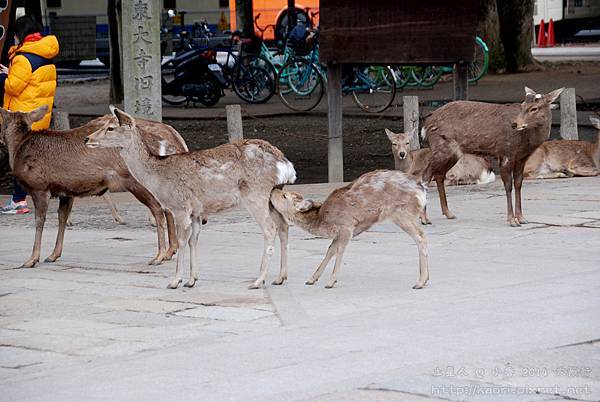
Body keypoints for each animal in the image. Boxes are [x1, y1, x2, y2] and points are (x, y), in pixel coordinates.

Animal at [0, 107, 185, 268]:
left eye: (2, 122)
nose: (1, 139)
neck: (19, 148)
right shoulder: (66, 191)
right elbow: (62, 218)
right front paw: (53, 255)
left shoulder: (39, 187)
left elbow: (39, 221)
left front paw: (32, 259)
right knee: (166, 208)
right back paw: (168, 252)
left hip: (136, 181)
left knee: (159, 209)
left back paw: (159, 256)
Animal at [85, 107, 298, 288]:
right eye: (104, 125)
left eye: (110, 128)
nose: (87, 138)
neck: (158, 178)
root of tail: (286, 165)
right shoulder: (196, 212)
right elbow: (193, 240)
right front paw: (192, 280)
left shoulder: (180, 207)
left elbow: (181, 241)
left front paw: (175, 281)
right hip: (273, 196)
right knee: (283, 225)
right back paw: (280, 278)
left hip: (256, 194)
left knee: (270, 228)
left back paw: (258, 280)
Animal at [270, 170, 428, 288]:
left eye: (284, 196)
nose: (272, 190)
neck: (323, 221)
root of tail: (421, 188)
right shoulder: (338, 234)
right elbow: (330, 250)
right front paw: (312, 279)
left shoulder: (346, 227)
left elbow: (340, 250)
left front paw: (331, 281)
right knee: (422, 236)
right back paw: (425, 279)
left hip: (403, 214)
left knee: (421, 237)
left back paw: (420, 282)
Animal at [420, 87, 564, 226]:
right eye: (522, 105)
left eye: (534, 108)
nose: (514, 124)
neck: (528, 141)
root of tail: (425, 125)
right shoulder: (506, 152)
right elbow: (508, 185)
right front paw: (512, 220)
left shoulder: (521, 158)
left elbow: (518, 184)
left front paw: (522, 218)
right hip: (441, 148)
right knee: (426, 175)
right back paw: (424, 218)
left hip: (452, 153)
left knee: (439, 175)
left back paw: (448, 213)